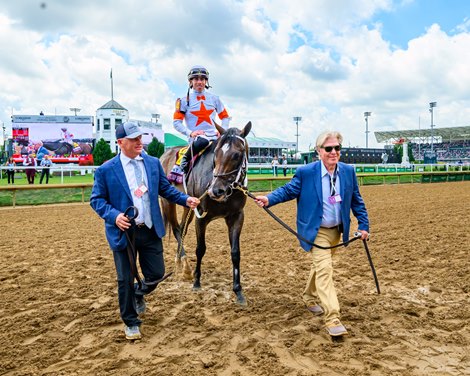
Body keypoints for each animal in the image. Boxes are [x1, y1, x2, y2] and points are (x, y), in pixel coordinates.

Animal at [160, 122, 252, 304]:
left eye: (237, 155)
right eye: (216, 153)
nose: (216, 190)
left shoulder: (237, 216)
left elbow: (235, 252)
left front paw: (238, 290)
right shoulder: (200, 216)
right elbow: (200, 249)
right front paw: (196, 282)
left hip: (187, 205)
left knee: (181, 228)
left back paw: (181, 262)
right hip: (168, 202)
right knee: (176, 228)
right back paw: (186, 267)